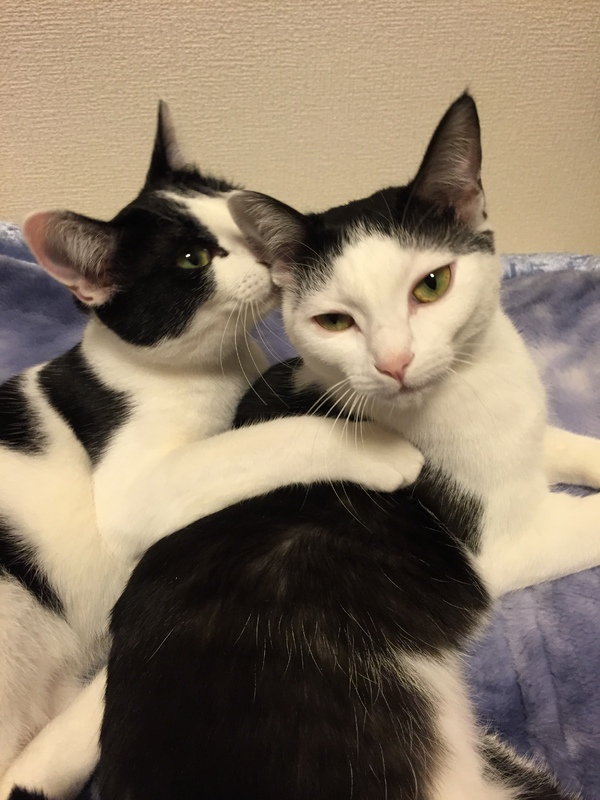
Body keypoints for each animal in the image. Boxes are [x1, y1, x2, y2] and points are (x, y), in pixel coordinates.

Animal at [0, 104, 421, 798]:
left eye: (237, 204)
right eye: (194, 258)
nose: (267, 247)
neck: (210, 371)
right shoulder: (133, 489)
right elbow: (257, 441)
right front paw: (382, 445)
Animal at [92, 93, 591, 798]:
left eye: (432, 284)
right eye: (334, 321)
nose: (395, 363)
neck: (471, 384)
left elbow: (562, 442)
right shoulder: (504, 540)